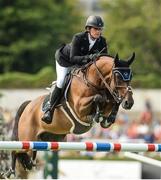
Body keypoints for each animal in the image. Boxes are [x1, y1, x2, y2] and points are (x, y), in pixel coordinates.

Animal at [5, 52, 135, 178]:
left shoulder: (108, 100)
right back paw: (10, 171)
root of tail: (28, 105)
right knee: (16, 150)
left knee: (29, 154)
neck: (92, 81)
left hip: (49, 139)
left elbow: (111, 102)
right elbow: (98, 98)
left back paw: (27, 164)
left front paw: (109, 117)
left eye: (131, 76)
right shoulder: (79, 107)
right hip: (27, 138)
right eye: (117, 76)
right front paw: (97, 114)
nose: (129, 103)